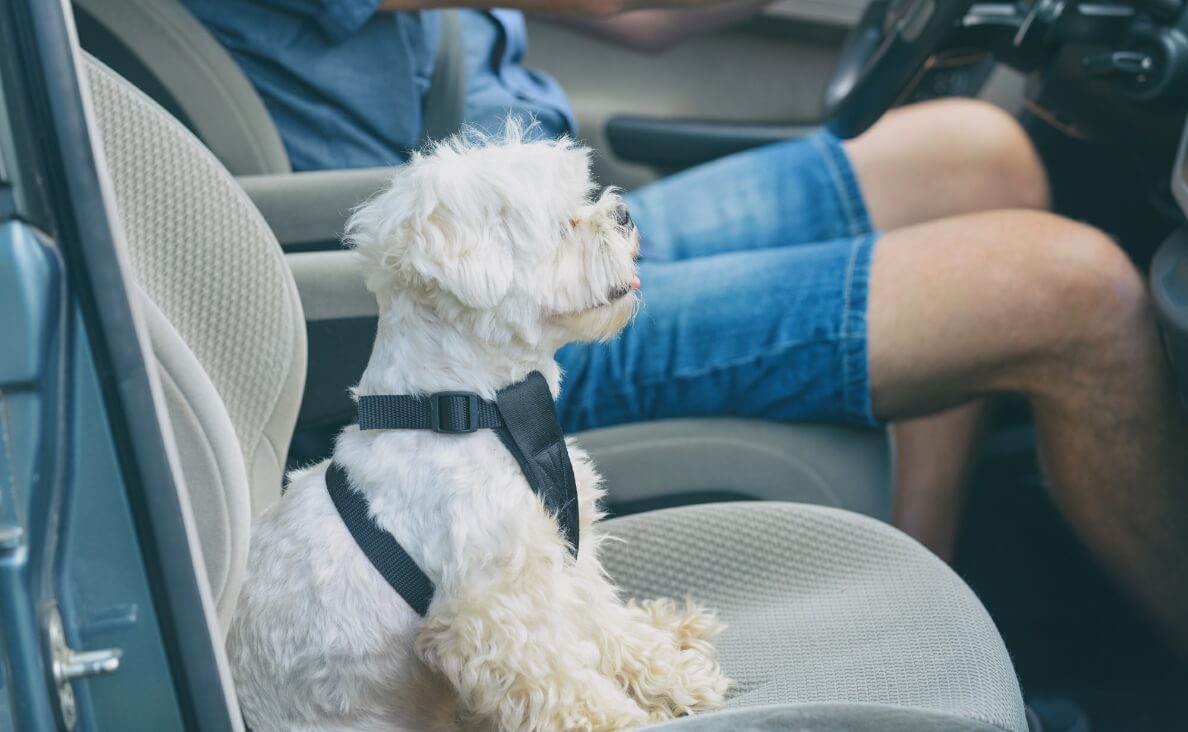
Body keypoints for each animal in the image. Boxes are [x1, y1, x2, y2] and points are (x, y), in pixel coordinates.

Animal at [225, 125, 727, 732]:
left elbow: (610, 631)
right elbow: (563, 681)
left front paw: (674, 676)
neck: (473, 408)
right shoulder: (490, 612)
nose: (625, 212)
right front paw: (619, 718)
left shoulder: (562, 566)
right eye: (562, 224)